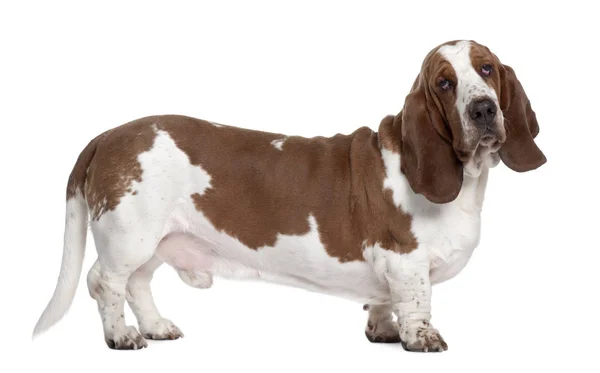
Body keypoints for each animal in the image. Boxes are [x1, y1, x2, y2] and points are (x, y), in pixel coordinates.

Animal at [35, 40, 548, 352]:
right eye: (444, 83)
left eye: (486, 69)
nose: (483, 109)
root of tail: (106, 136)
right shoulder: (405, 260)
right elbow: (417, 302)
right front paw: (421, 338)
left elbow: (385, 302)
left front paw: (383, 330)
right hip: (129, 236)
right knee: (105, 282)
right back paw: (122, 336)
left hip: (153, 241)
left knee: (138, 284)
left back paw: (157, 327)